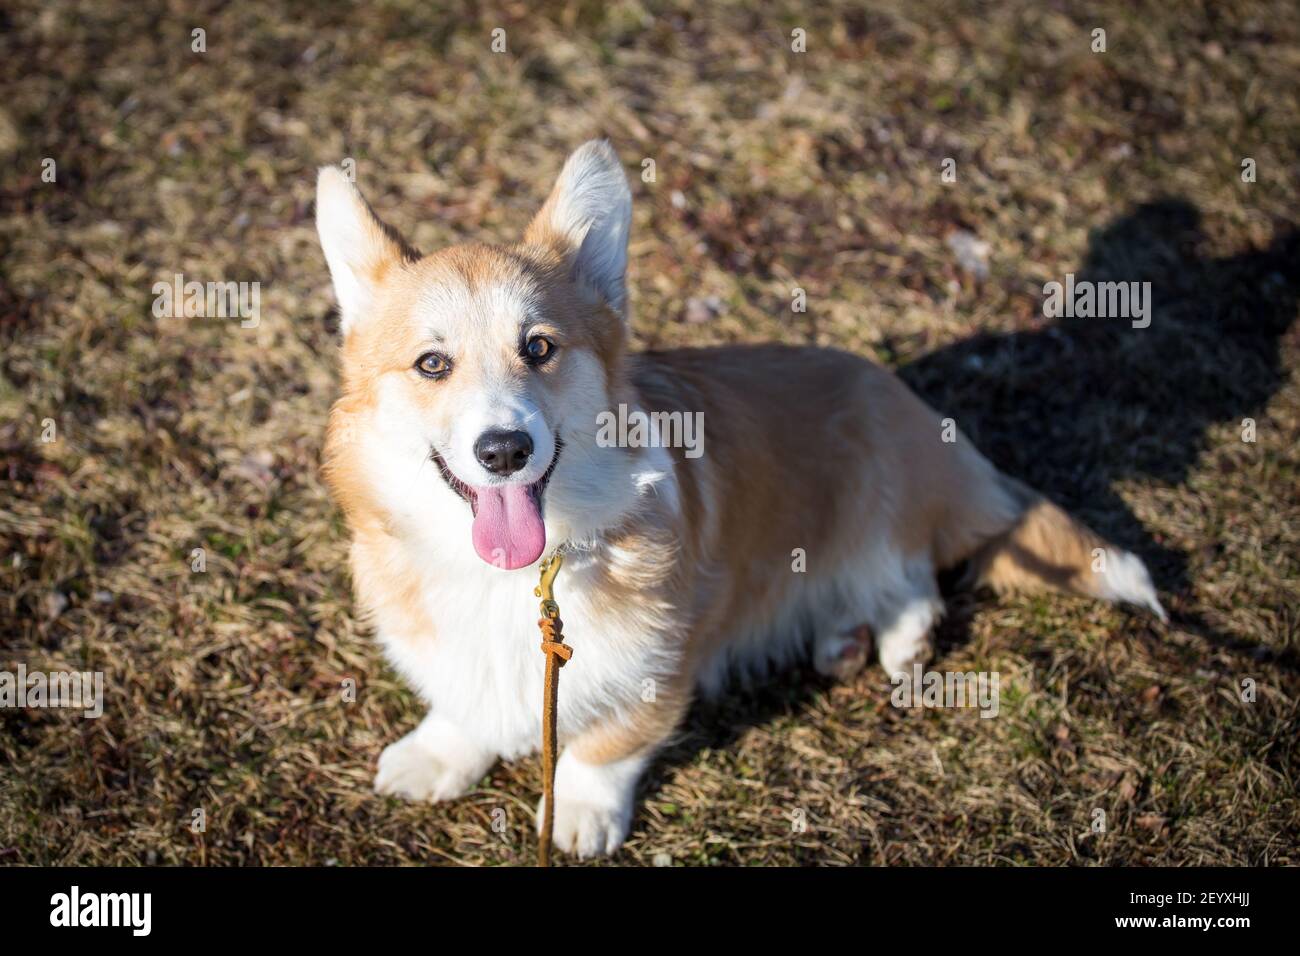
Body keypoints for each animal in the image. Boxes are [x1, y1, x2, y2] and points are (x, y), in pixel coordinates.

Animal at [317, 140, 1170, 858]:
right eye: (432, 364)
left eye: (538, 348)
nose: (504, 451)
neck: (525, 574)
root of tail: (930, 424)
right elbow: (464, 702)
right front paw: (438, 755)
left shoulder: (659, 662)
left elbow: (606, 746)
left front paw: (581, 813)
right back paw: (842, 639)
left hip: (880, 500)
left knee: (914, 574)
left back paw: (900, 643)